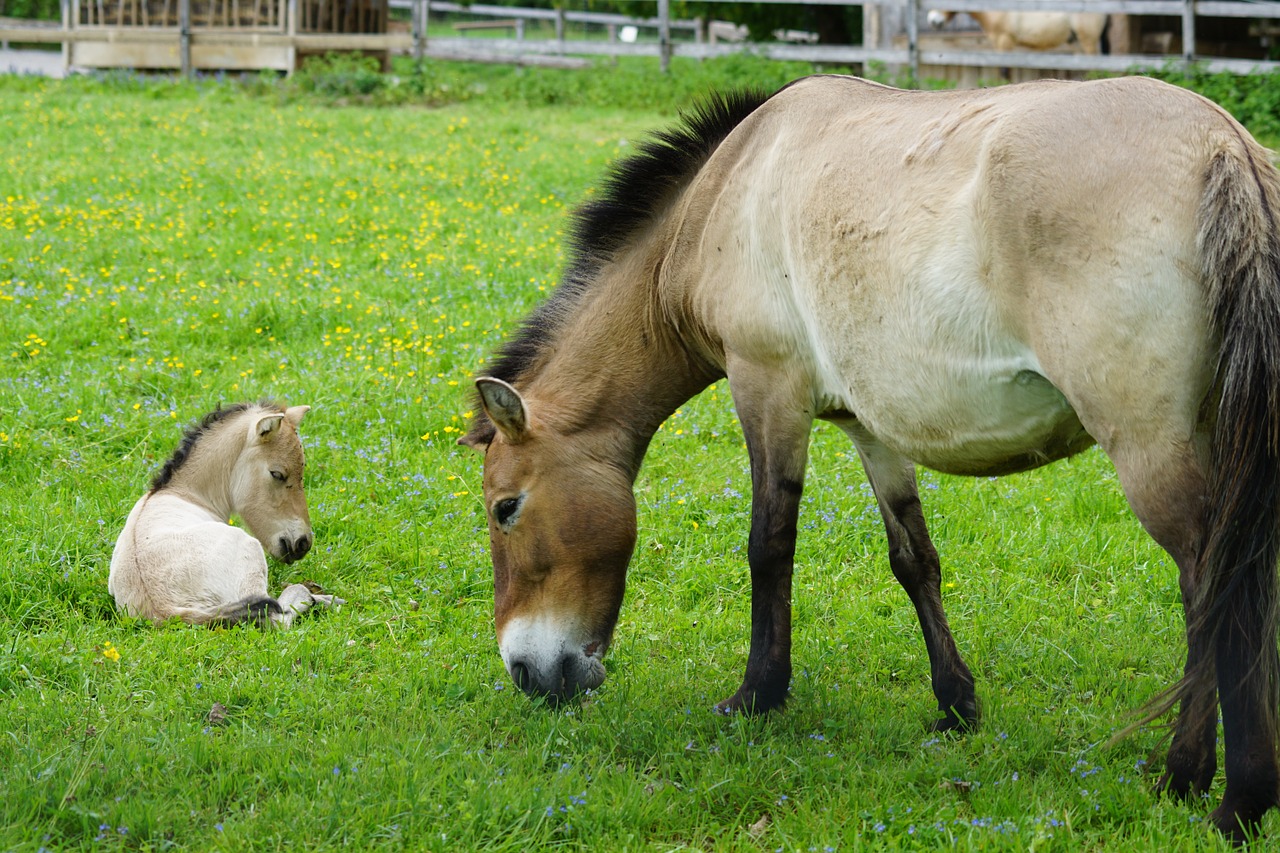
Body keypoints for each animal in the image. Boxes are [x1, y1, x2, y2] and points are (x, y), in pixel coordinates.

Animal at [110, 399, 340, 625]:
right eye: (277, 474)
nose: (302, 543)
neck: (186, 493)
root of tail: (165, 610)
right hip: (250, 552)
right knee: (276, 617)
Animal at [465, 74, 1280, 845]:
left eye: (506, 509)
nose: (526, 672)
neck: (727, 190)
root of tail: (1222, 142)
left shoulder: (767, 390)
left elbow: (769, 545)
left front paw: (758, 695)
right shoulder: (869, 427)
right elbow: (913, 558)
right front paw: (955, 704)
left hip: (1150, 449)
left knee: (1213, 591)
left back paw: (1218, 791)